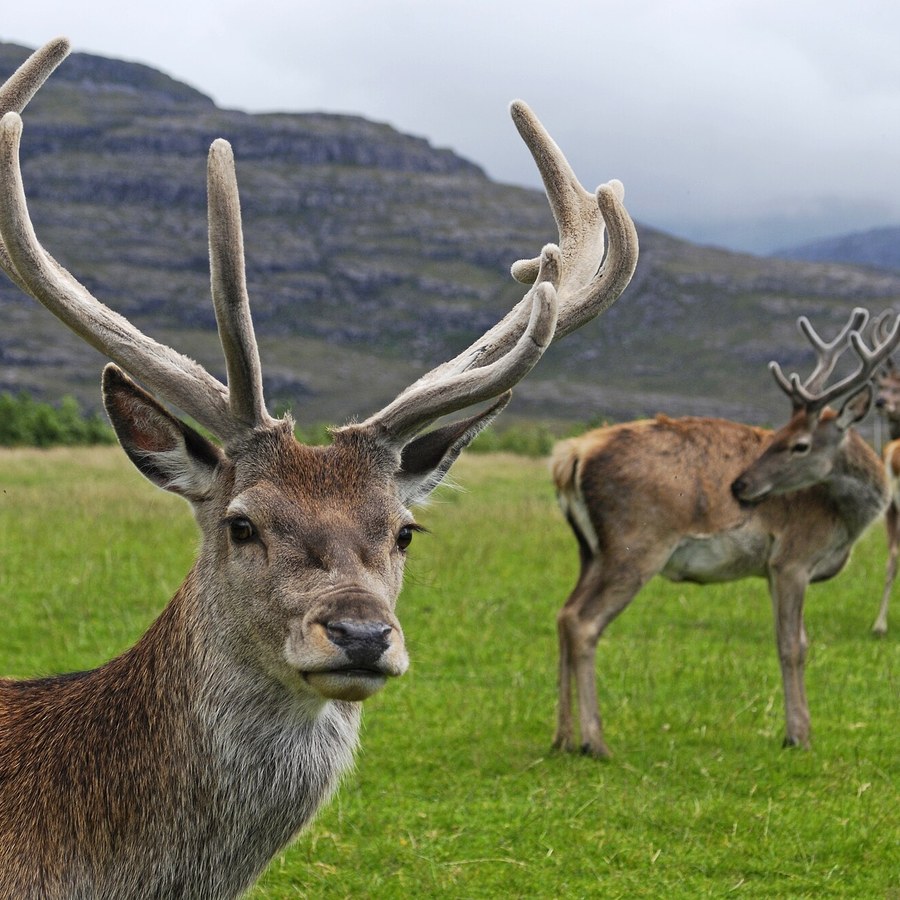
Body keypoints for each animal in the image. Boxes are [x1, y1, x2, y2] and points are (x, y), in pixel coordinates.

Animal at [551, 306, 898, 759]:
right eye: (778, 435)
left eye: (798, 443)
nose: (739, 485)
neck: (844, 521)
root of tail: (570, 455)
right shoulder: (792, 558)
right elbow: (792, 645)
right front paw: (798, 735)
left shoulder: (772, 570)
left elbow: (796, 640)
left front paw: (798, 730)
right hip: (636, 545)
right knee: (583, 622)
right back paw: (595, 741)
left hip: (590, 550)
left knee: (563, 613)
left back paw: (562, 738)